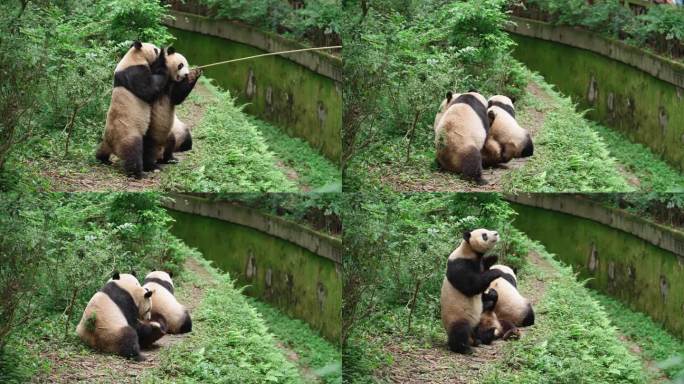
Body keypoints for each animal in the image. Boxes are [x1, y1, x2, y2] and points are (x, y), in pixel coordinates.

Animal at [95, 40, 169, 178]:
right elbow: (149, 89)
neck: (133, 57)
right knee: (133, 152)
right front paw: (162, 60)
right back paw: (138, 173)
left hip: (106, 140)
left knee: (102, 150)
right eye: (155, 49)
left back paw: (102, 159)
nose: (159, 49)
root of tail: (113, 145)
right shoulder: (134, 73)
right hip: (128, 133)